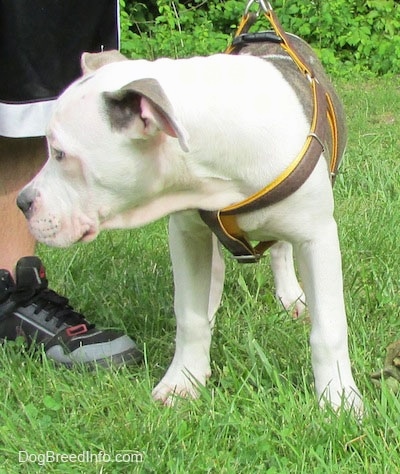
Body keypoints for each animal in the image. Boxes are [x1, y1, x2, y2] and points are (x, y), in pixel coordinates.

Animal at [16, 37, 362, 412]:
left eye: (60, 154)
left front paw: (339, 398)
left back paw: (290, 296)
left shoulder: (318, 237)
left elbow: (329, 329)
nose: (22, 203)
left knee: (281, 248)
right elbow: (190, 316)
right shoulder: (187, 235)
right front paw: (183, 380)